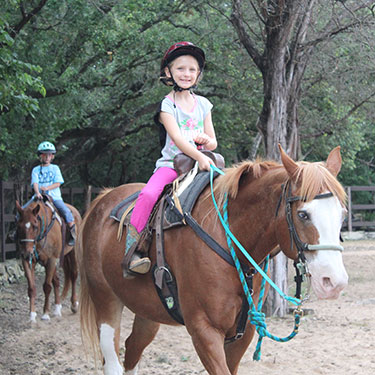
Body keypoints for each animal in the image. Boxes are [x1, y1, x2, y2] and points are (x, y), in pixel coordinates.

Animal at [77, 145, 350, 374]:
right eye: (303, 214)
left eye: (342, 214)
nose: (334, 282)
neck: (230, 240)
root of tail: (102, 199)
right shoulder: (204, 330)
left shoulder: (243, 332)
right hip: (106, 300)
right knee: (112, 358)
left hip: (147, 312)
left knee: (132, 349)